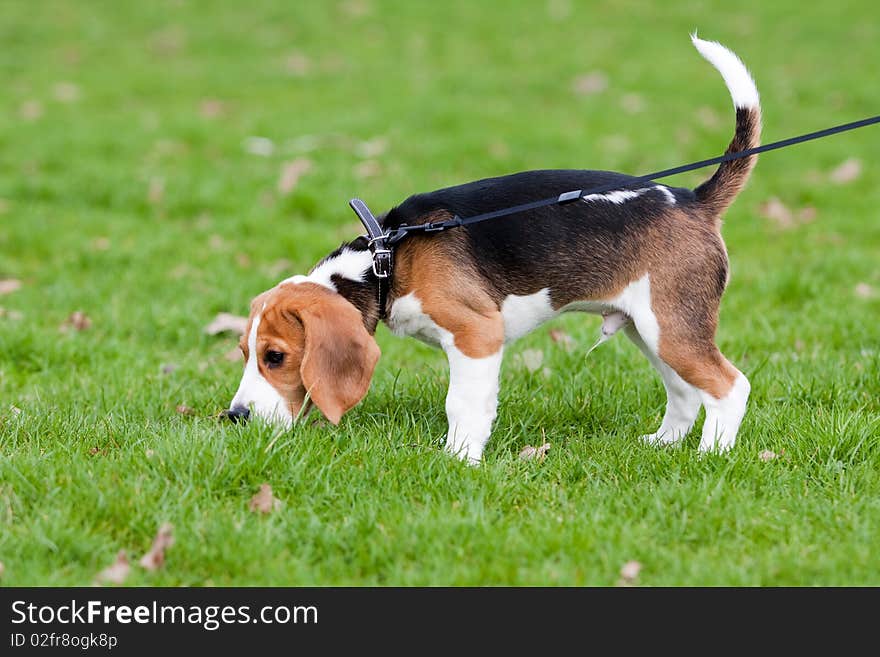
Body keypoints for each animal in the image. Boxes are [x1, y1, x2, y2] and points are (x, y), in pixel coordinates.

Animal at [227, 36, 764, 462]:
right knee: (686, 392)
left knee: (729, 386)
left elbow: (461, 404)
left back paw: (711, 454)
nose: (234, 416)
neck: (387, 261)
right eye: (244, 353)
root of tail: (693, 199)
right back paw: (664, 444)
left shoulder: (476, 335)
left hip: (670, 327)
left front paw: (459, 458)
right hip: (650, 329)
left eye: (275, 356)